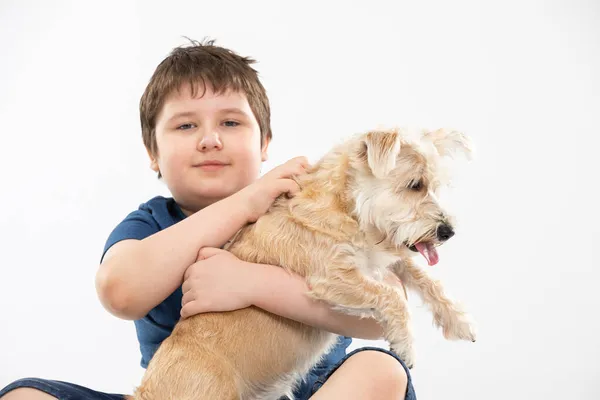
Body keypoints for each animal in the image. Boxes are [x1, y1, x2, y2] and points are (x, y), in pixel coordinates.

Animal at [130, 126, 478, 398]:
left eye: (435, 186)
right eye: (414, 184)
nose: (448, 232)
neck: (345, 206)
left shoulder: (380, 258)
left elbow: (424, 278)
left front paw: (459, 321)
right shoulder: (334, 277)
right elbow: (391, 295)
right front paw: (405, 344)